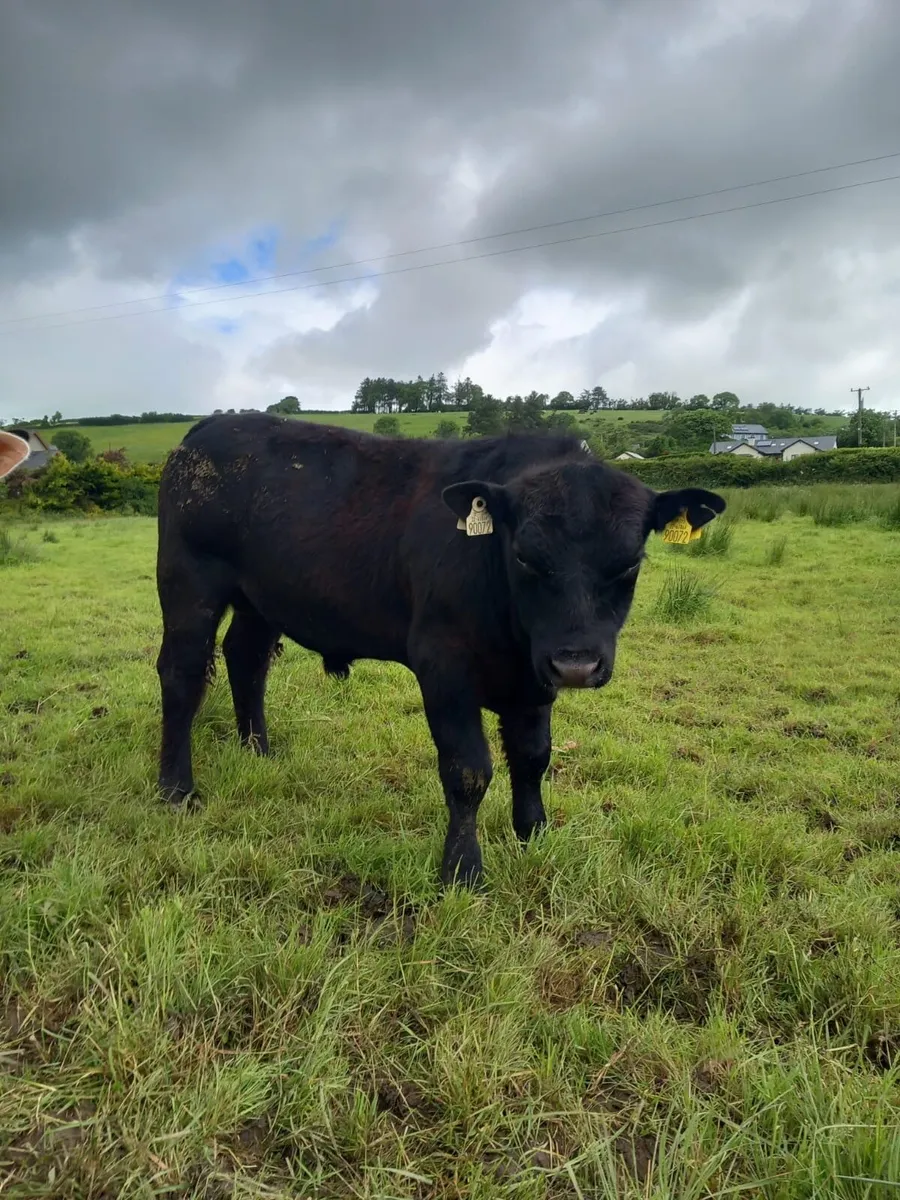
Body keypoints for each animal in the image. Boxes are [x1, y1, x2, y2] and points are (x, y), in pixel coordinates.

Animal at [155, 413, 725, 887]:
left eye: (630, 562)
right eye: (525, 556)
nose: (577, 665)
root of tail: (210, 426)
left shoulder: (534, 679)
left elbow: (533, 757)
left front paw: (533, 835)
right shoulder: (444, 666)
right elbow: (468, 770)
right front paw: (462, 870)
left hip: (260, 599)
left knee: (246, 659)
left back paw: (259, 751)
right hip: (189, 583)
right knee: (182, 674)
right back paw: (176, 791)